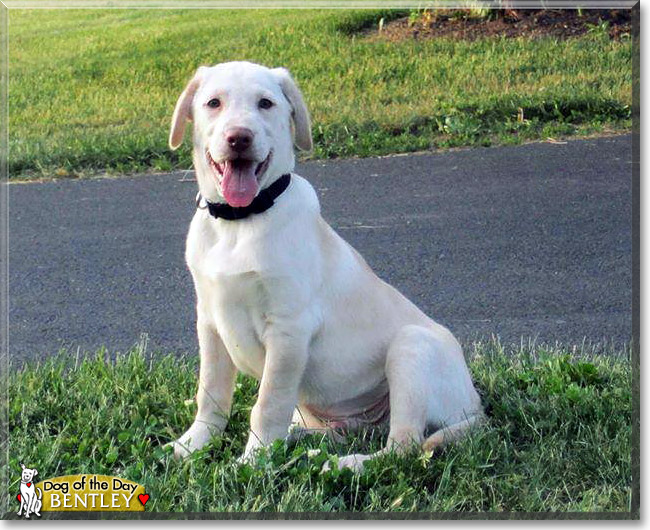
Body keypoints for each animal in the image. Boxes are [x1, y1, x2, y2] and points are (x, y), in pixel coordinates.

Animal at [167, 62, 480, 470]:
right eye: (213, 103)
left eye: (265, 103)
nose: (239, 138)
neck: (240, 222)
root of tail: (477, 407)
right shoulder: (210, 321)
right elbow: (211, 394)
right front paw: (193, 444)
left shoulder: (289, 328)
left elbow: (267, 404)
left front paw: (251, 462)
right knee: (337, 431)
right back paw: (305, 445)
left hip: (412, 349)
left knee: (404, 445)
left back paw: (347, 463)